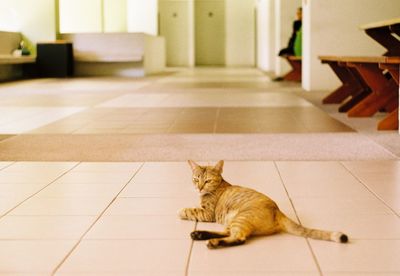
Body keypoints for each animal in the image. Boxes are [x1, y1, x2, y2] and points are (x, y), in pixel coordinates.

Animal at [180, 160, 348, 248]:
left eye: (207, 181)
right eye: (196, 179)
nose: (199, 187)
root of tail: (278, 211)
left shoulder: (208, 213)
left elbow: (191, 210)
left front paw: (181, 211)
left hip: (241, 218)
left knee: (239, 238)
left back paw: (212, 242)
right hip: (233, 221)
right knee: (229, 233)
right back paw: (199, 234)